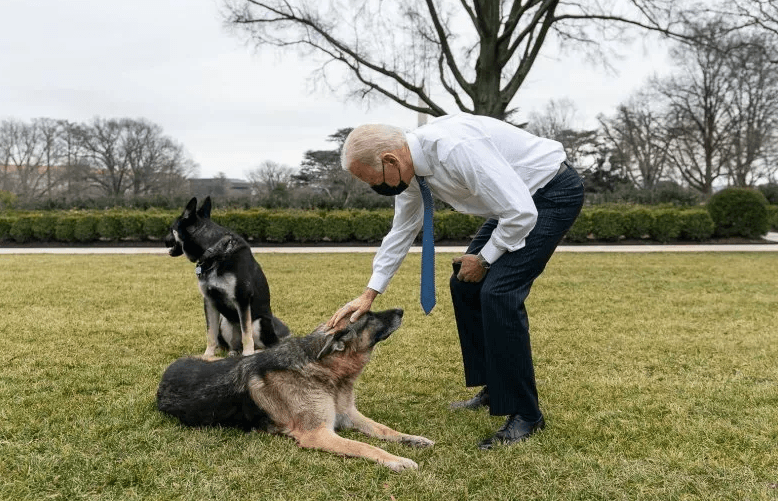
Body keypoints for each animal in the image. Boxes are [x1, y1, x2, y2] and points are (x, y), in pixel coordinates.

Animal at [163, 195, 288, 356]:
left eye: (171, 229)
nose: (164, 241)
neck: (213, 252)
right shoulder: (209, 301)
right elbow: (211, 333)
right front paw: (208, 355)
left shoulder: (242, 299)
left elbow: (246, 333)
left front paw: (248, 355)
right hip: (225, 321)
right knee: (234, 344)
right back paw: (233, 352)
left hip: (259, 323)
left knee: (265, 344)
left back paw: (254, 352)